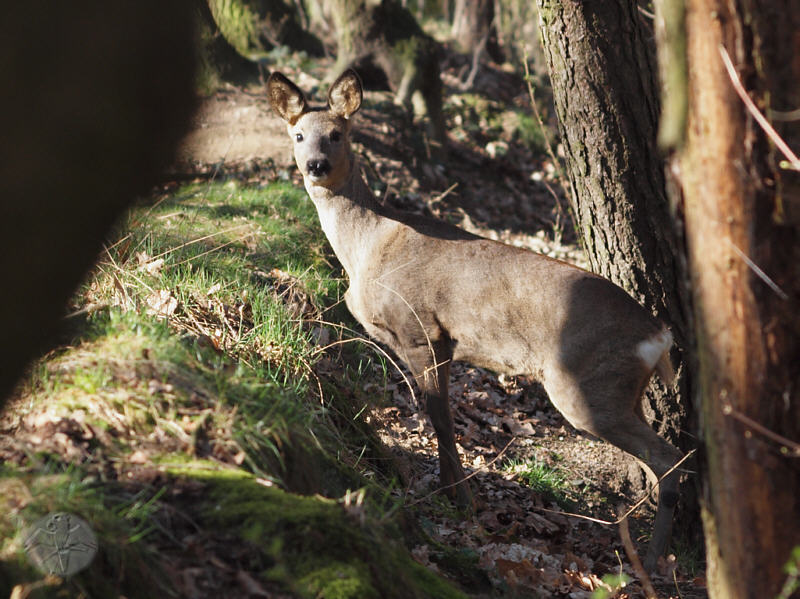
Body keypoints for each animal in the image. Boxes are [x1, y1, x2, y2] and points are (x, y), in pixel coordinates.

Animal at [268, 68, 680, 568]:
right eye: (298, 134)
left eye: (338, 134)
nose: (315, 165)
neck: (367, 246)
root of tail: (658, 336)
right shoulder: (441, 342)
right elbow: (439, 413)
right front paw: (452, 490)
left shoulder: (421, 329)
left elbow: (440, 415)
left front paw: (460, 500)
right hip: (623, 391)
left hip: (585, 385)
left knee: (669, 459)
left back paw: (654, 559)